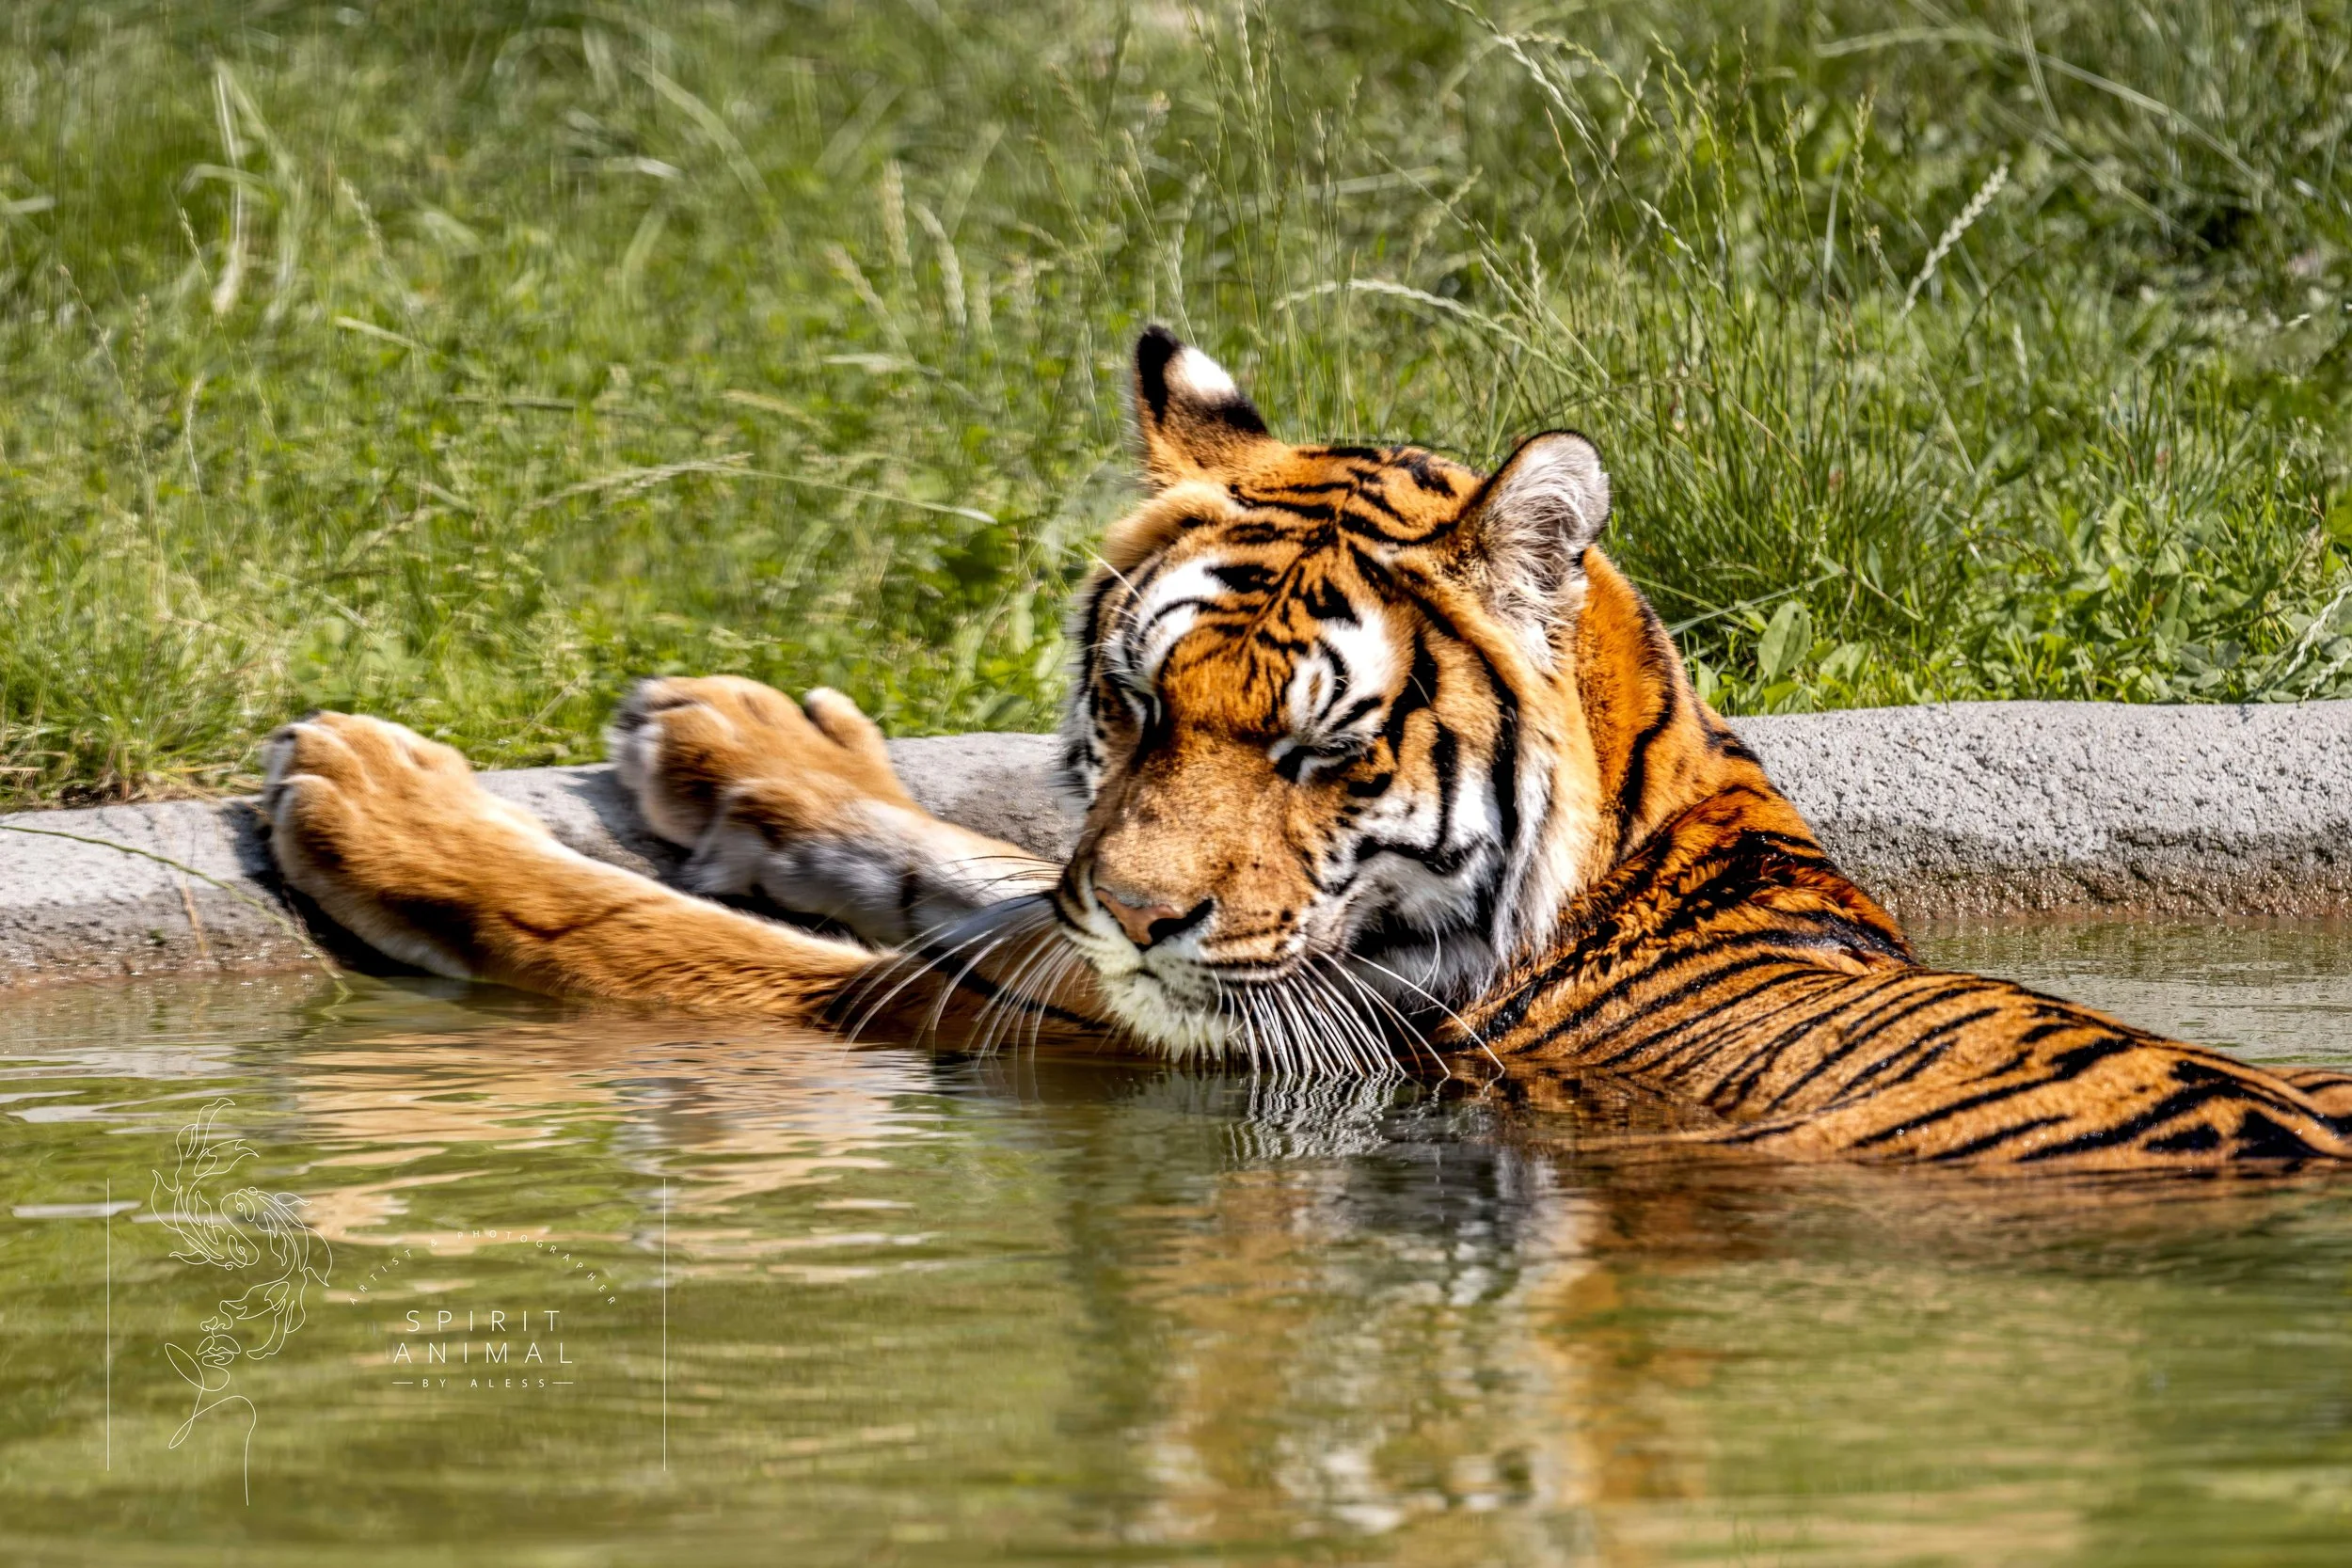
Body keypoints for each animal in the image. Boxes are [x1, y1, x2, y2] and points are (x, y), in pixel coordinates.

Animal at [260, 325, 2352, 1170]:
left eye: (1323, 756)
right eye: (1130, 707)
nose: (1142, 919)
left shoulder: (1101, 1029)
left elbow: (682, 949)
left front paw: (372, 793)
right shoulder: (1086, 949)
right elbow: (972, 861)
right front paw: (734, 731)